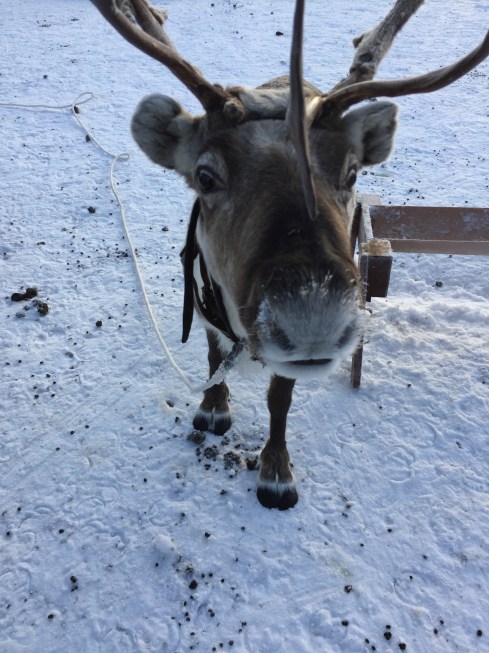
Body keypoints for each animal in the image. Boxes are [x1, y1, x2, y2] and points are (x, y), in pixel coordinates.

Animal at [91, 0, 488, 509]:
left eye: (352, 172)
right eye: (205, 175)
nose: (312, 318)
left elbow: (279, 402)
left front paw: (276, 473)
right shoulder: (202, 304)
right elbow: (211, 360)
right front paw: (213, 411)